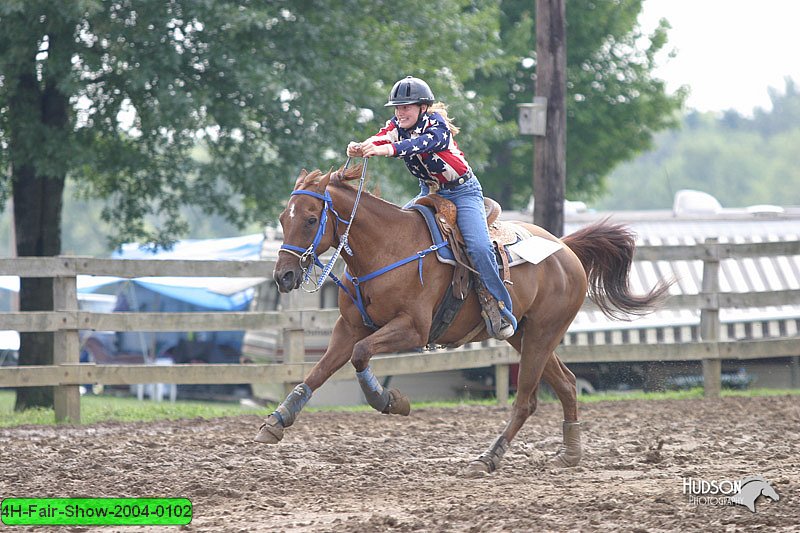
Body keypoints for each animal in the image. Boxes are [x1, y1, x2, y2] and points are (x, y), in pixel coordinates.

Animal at [256, 163, 668, 474]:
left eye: (311, 219)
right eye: (282, 218)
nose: (284, 276)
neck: (388, 248)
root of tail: (565, 249)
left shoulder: (412, 330)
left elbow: (360, 355)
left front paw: (391, 400)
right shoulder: (349, 327)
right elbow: (319, 371)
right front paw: (276, 421)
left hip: (541, 335)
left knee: (526, 401)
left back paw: (487, 458)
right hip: (525, 335)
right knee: (566, 385)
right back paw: (569, 455)